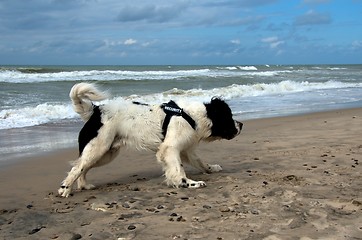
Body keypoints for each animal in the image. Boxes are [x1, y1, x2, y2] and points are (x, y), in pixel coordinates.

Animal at [58, 82, 242, 197]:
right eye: (229, 117)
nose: (241, 125)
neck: (193, 116)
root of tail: (96, 110)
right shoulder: (170, 148)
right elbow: (178, 169)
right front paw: (188, 183)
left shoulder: (186, 150)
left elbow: (201, 162)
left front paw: (212, 168)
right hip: (99, 148)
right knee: (77, 168)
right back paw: (65, 189)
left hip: (105, 153)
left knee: (82, 167)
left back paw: (84, 185)